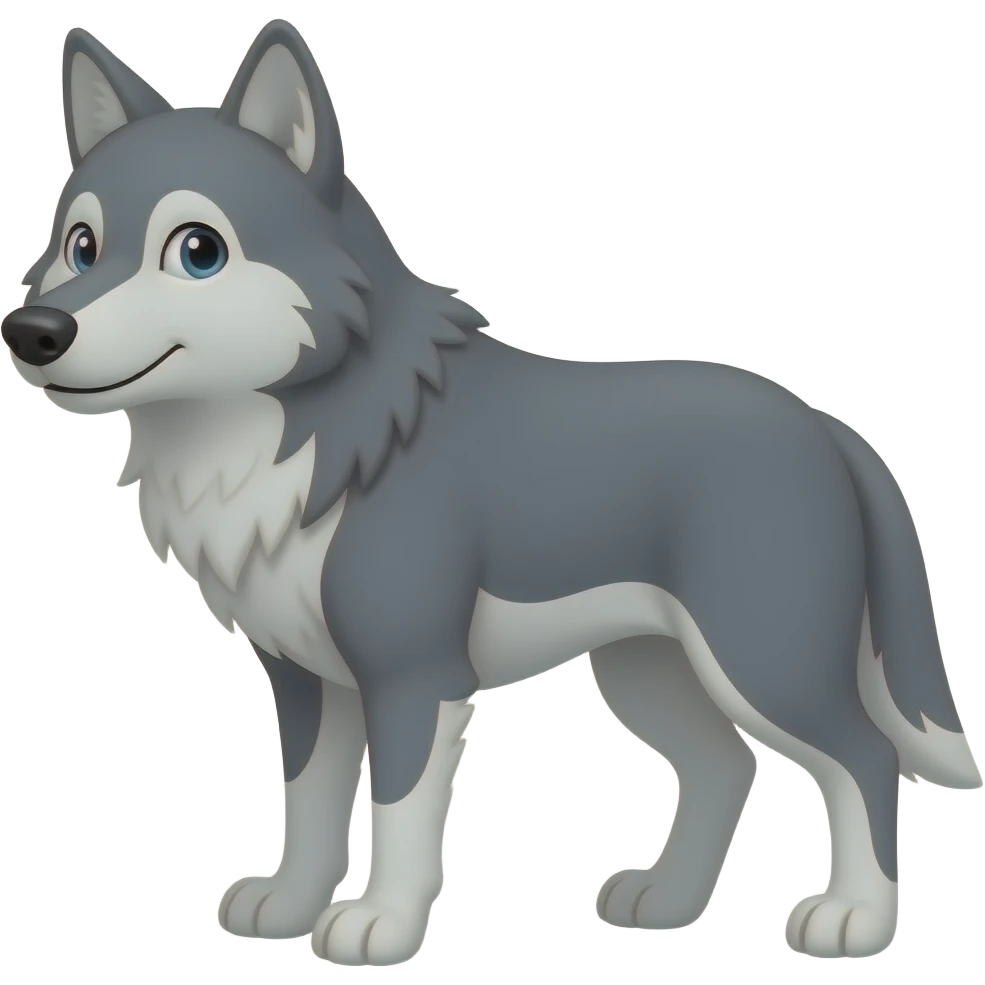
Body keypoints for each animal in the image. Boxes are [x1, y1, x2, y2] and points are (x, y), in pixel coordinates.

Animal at [2, 19, 980, 967]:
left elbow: (398, 814)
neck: (306, 435)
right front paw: (287, 907)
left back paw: (854, 920)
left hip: (761, 658)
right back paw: (665, 903)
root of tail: (824, 424)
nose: (34, 330)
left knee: (865, 755)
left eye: (197, 251)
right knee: (723, 766)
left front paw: (378, 926)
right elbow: (309, 804)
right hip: (646, 667)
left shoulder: (414, 675)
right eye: (79, 246)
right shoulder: (308, 680)